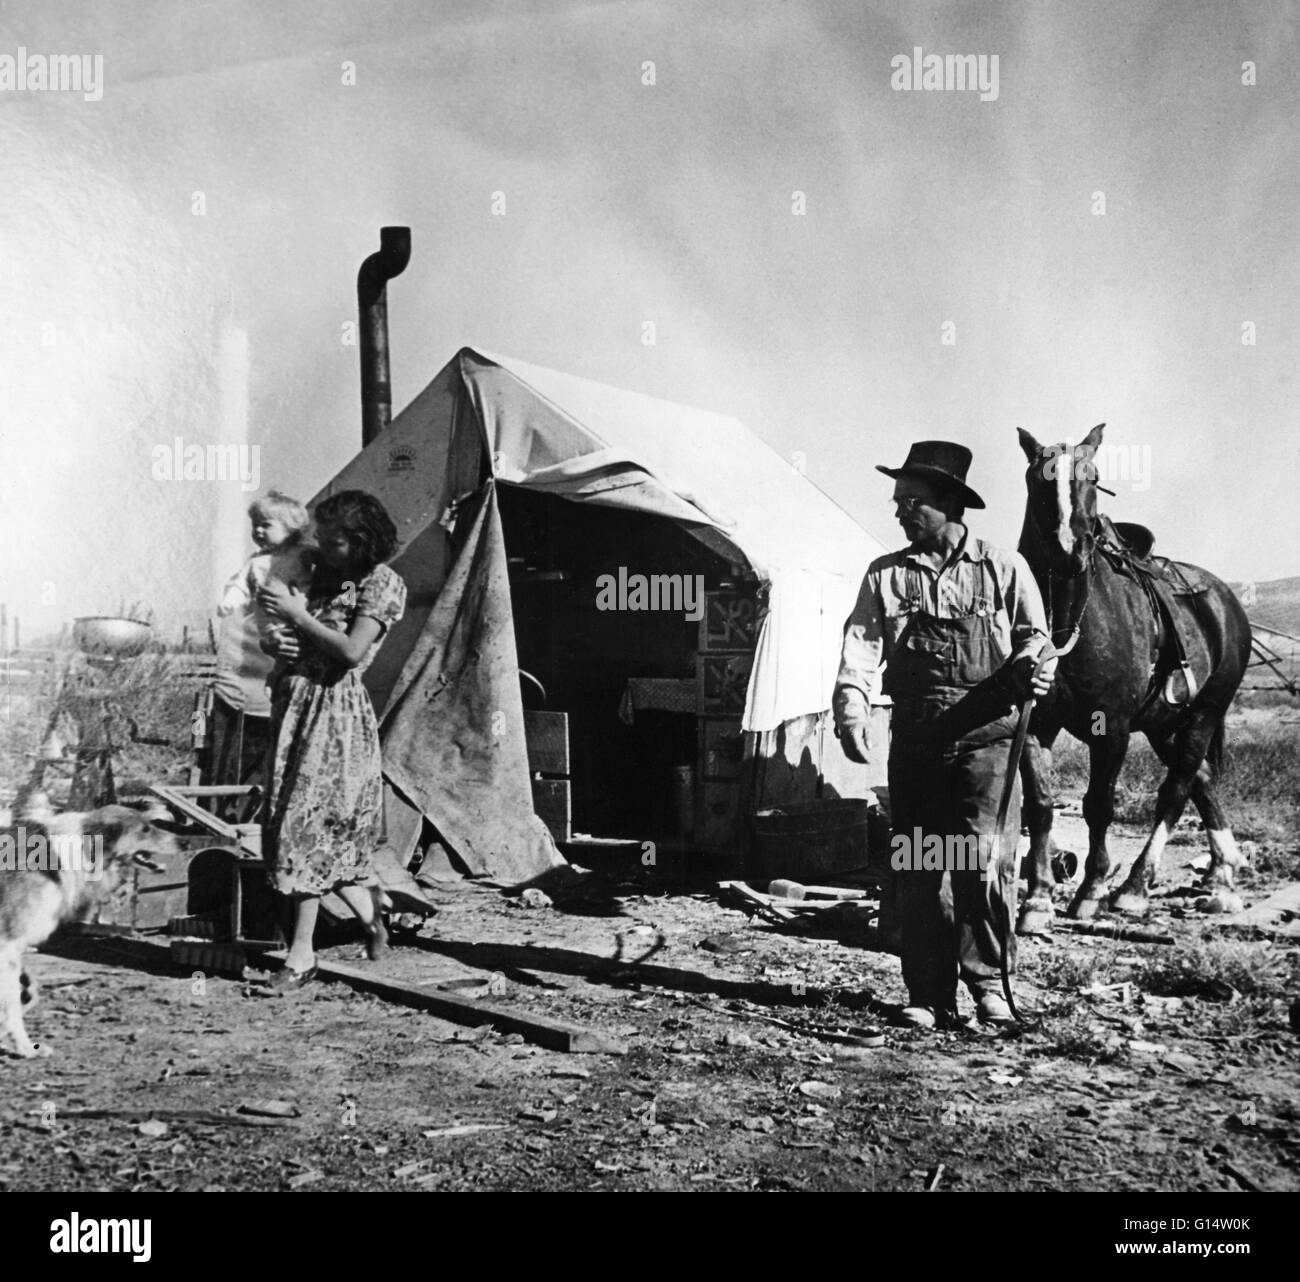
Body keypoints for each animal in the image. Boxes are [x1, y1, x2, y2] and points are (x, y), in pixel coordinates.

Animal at [1008, 421, 1253, 930]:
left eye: (1094, 474)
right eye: (1037, 478)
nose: (1070, 549)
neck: (1069, 619)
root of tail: (1225, 601)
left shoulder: (1113, 729)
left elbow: (1099, 805)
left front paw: (1091, 891)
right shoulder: (1036, 722)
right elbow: (1039, 806)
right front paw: (1038, 899)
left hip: (1203, 714)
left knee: (1177, 788)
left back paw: (1135, 888)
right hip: (1165, 724)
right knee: (1201, 779)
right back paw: (1222, 876)